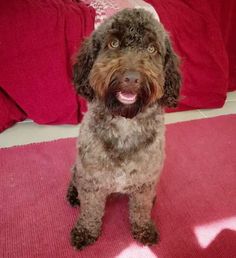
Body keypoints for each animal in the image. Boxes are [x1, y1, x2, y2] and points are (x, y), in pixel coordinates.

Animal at [66, 8, 181, 250]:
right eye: (114, 43)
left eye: (152, 49)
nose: (131, 78)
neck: (125, 121)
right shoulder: (91, 178)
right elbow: (91, 210)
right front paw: (85, 231)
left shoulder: (146, 180)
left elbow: (140, 209)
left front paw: (143, 229)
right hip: (79, 169)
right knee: (74, 178)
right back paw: (73, 194)